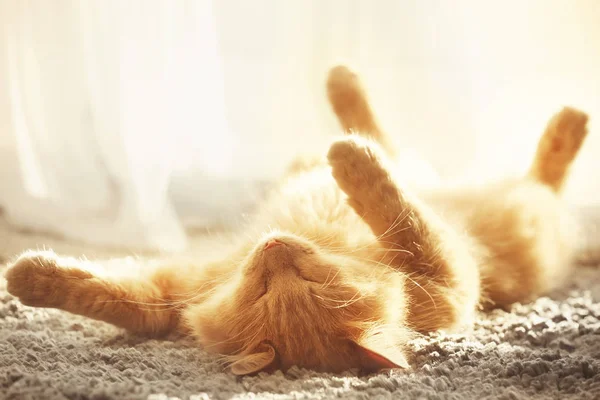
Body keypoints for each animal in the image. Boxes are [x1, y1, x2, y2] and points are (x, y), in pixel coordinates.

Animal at [2, 65, 588, 376]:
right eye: (263, 289)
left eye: (311, 280)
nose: (274, 247)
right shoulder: (170, 298)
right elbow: (109, 293)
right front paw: (29, 278)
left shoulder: (451, 285)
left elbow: (400, 213)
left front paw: (352, 165)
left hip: (514, 204)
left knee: (538, 173)